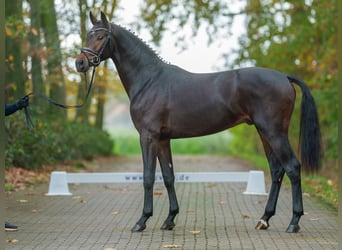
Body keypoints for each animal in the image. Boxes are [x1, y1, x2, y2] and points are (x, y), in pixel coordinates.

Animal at [75, 11, 320, 234]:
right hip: (264, 132)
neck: (149, 80)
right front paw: (170, 219)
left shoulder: (148, 136)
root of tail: (284, 77)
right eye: (88, 35)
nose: (80, 63)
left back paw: (294, 222)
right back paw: (264, 219)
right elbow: (168, 177)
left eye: (100, 36)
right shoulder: (163, 139)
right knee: (277, 171)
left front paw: (142, 221)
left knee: (292, 167)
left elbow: (148, 177)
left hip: (274, 132)